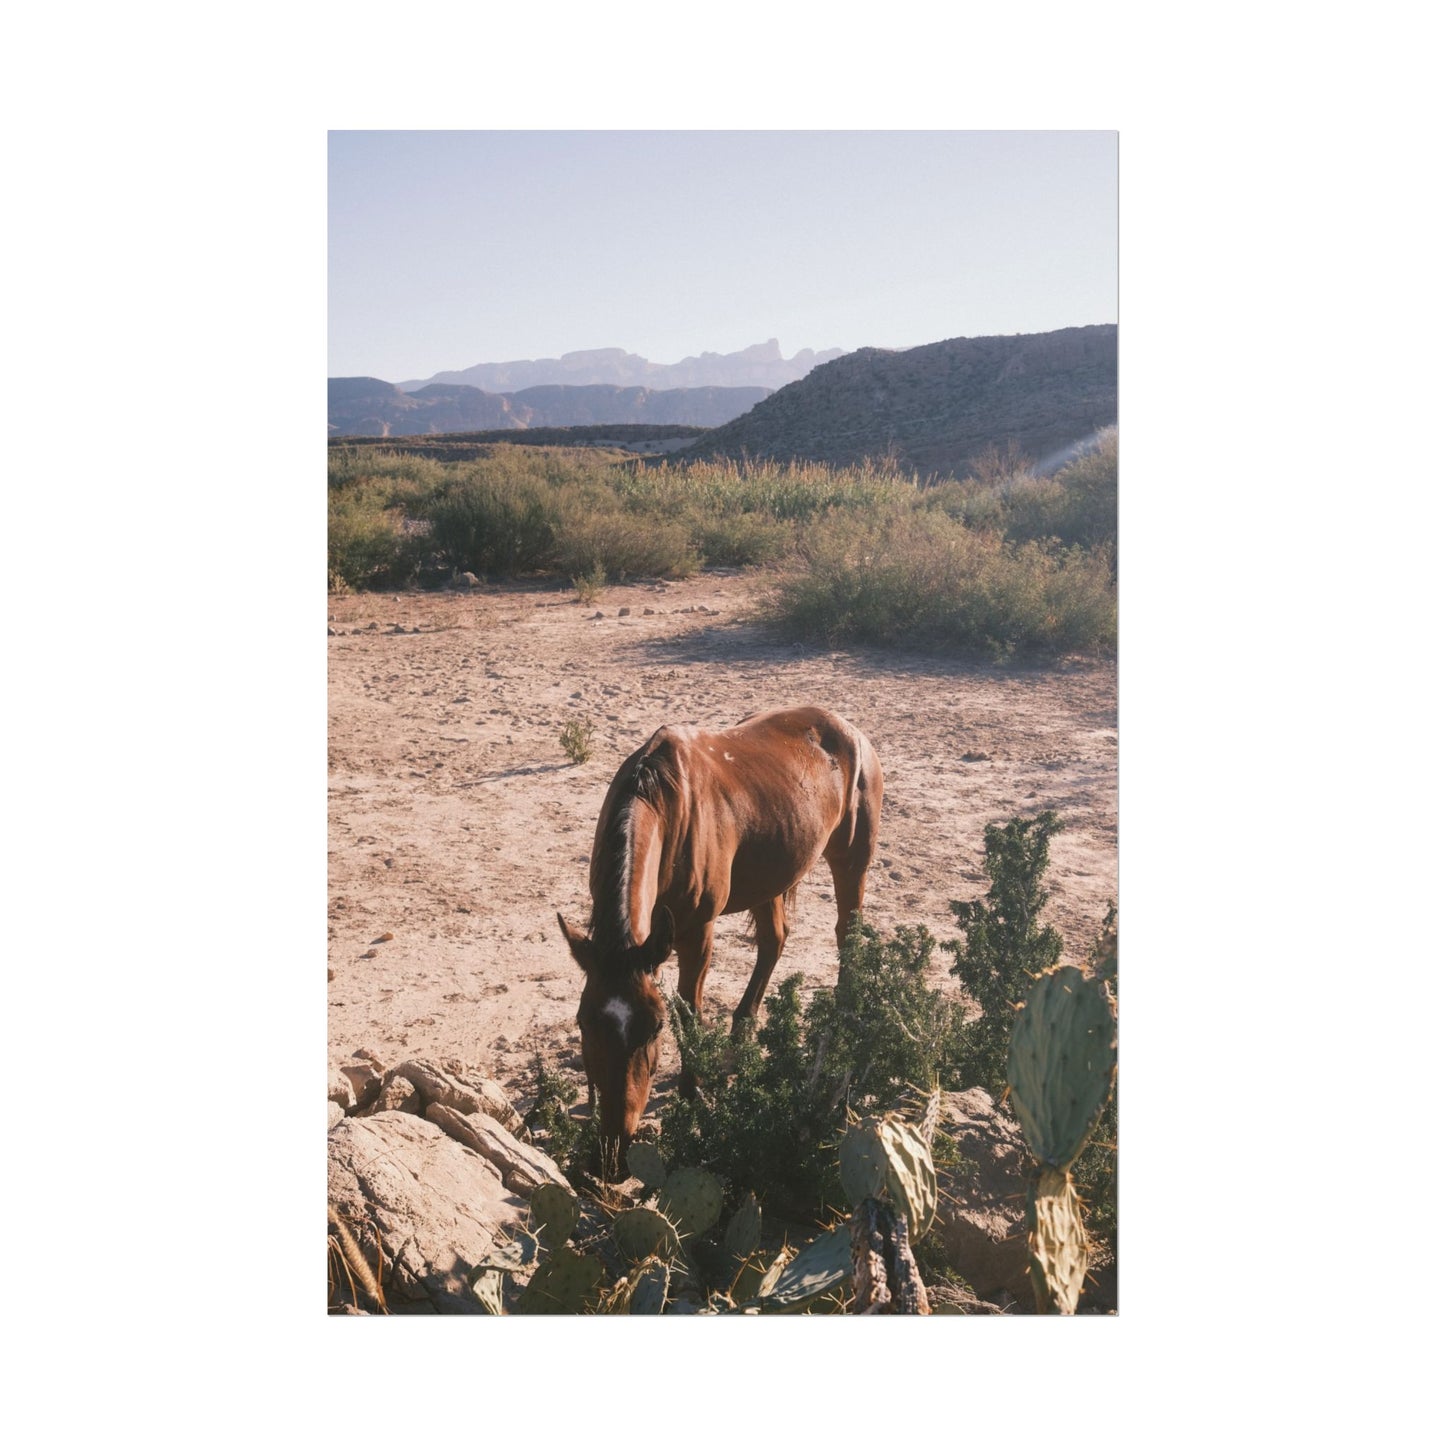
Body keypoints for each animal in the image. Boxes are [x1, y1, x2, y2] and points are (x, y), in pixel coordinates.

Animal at [556, 705, 883, 1178]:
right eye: (584, 1023)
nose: (613, 1156)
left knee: (847, 935)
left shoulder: (696, 934)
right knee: (774, 941)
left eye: (654, 1028)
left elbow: (689, 1014)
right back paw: (739, 1035)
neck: (664, 805)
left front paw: (691, 1097)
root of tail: (850, 730)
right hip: (771, 875)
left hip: (851, 862)